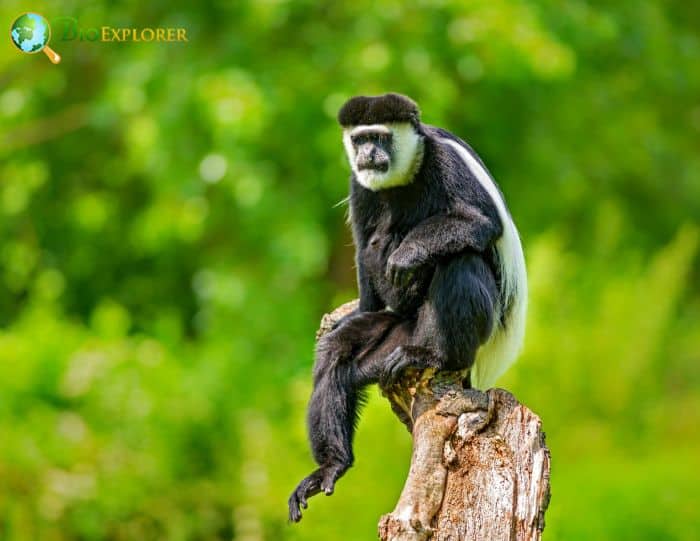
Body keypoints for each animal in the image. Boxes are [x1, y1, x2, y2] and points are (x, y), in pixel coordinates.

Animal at [288, 94, 524, 524]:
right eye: (361, 138)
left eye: (381, 137)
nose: (367, 154)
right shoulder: (359, 185)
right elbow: (363, 244)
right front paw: (357, 309)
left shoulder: (446, 162)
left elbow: (480, 221)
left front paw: (408, 254)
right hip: (391, 336)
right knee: (335, 358)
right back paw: (331, 466)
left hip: (464, 325)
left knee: (460, 260)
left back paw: (435, 354)